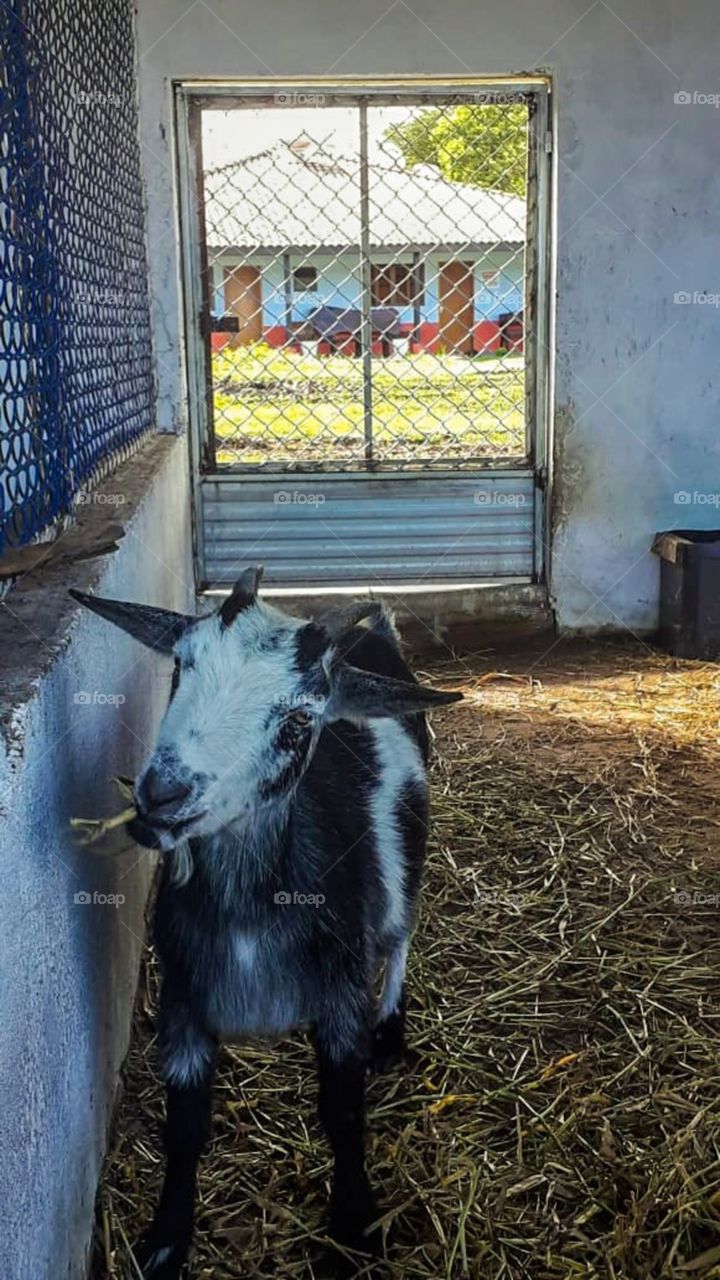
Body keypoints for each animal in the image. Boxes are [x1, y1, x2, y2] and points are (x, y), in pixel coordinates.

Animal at [71, 567, 461, 1278]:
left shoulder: (339, 996)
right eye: (181, 664)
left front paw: (355, 1224)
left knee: (400, 933)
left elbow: (342, 1109)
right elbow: (185, 1126)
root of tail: (374, 633)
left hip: (406, 855)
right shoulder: (183, 1003)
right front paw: (165, 1240)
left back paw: (392, 1030)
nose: (162, 795)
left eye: (300, 717)